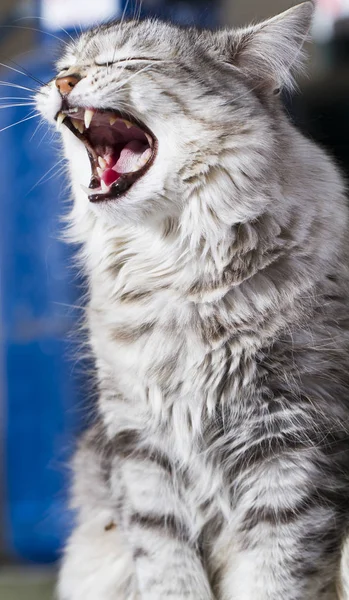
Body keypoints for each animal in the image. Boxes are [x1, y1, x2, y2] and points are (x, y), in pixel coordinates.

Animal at [34, 2, 348, 596]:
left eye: (131, 60)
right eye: (65, 66)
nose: (62, 82)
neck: (178, 270)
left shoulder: (292, 437)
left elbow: (274, 576)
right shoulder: (140, 444)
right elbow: (165, 565)